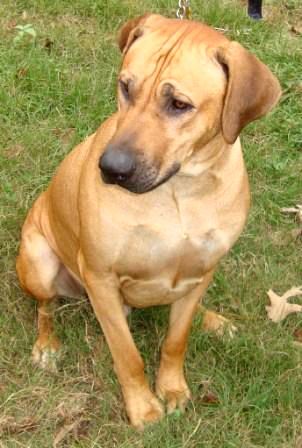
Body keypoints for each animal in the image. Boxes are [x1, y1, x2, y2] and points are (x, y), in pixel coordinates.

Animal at [16, 13, 280, 428]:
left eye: (179, 104)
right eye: (126, 87)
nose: (111, 168)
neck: (180, 190)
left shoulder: (202, 269)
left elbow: (175, 341)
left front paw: (171, 388)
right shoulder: (101, 277)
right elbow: (127, 356)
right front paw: (143, 406)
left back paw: (213, 320)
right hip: (39, 262)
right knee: (45, 308)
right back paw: (47, 345)